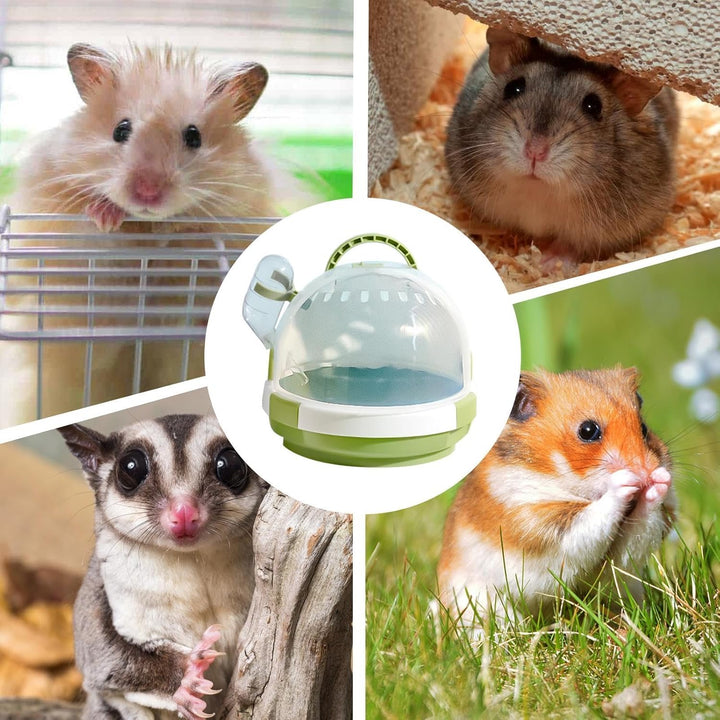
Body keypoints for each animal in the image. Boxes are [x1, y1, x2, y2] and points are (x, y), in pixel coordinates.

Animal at [59, 414, 268, 720]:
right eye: (131, 468)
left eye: (229, 465)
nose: (184, 512)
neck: (193, 557)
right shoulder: (102, 591)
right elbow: (102, 659)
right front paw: (187, 675)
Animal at [438, 368, 677, 623]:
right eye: (588, 430)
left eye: (643, 428)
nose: (646, 471)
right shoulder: (540, 526)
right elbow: (594, 517)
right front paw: (625, 481)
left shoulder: (622, 556)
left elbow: (638, 528)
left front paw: (659, 480)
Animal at [445, 29, 679, 261]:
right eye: (513, 88)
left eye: (594, 106)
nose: (535, 152)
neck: (536, 191)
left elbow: (570, 248)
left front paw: (546, 263)